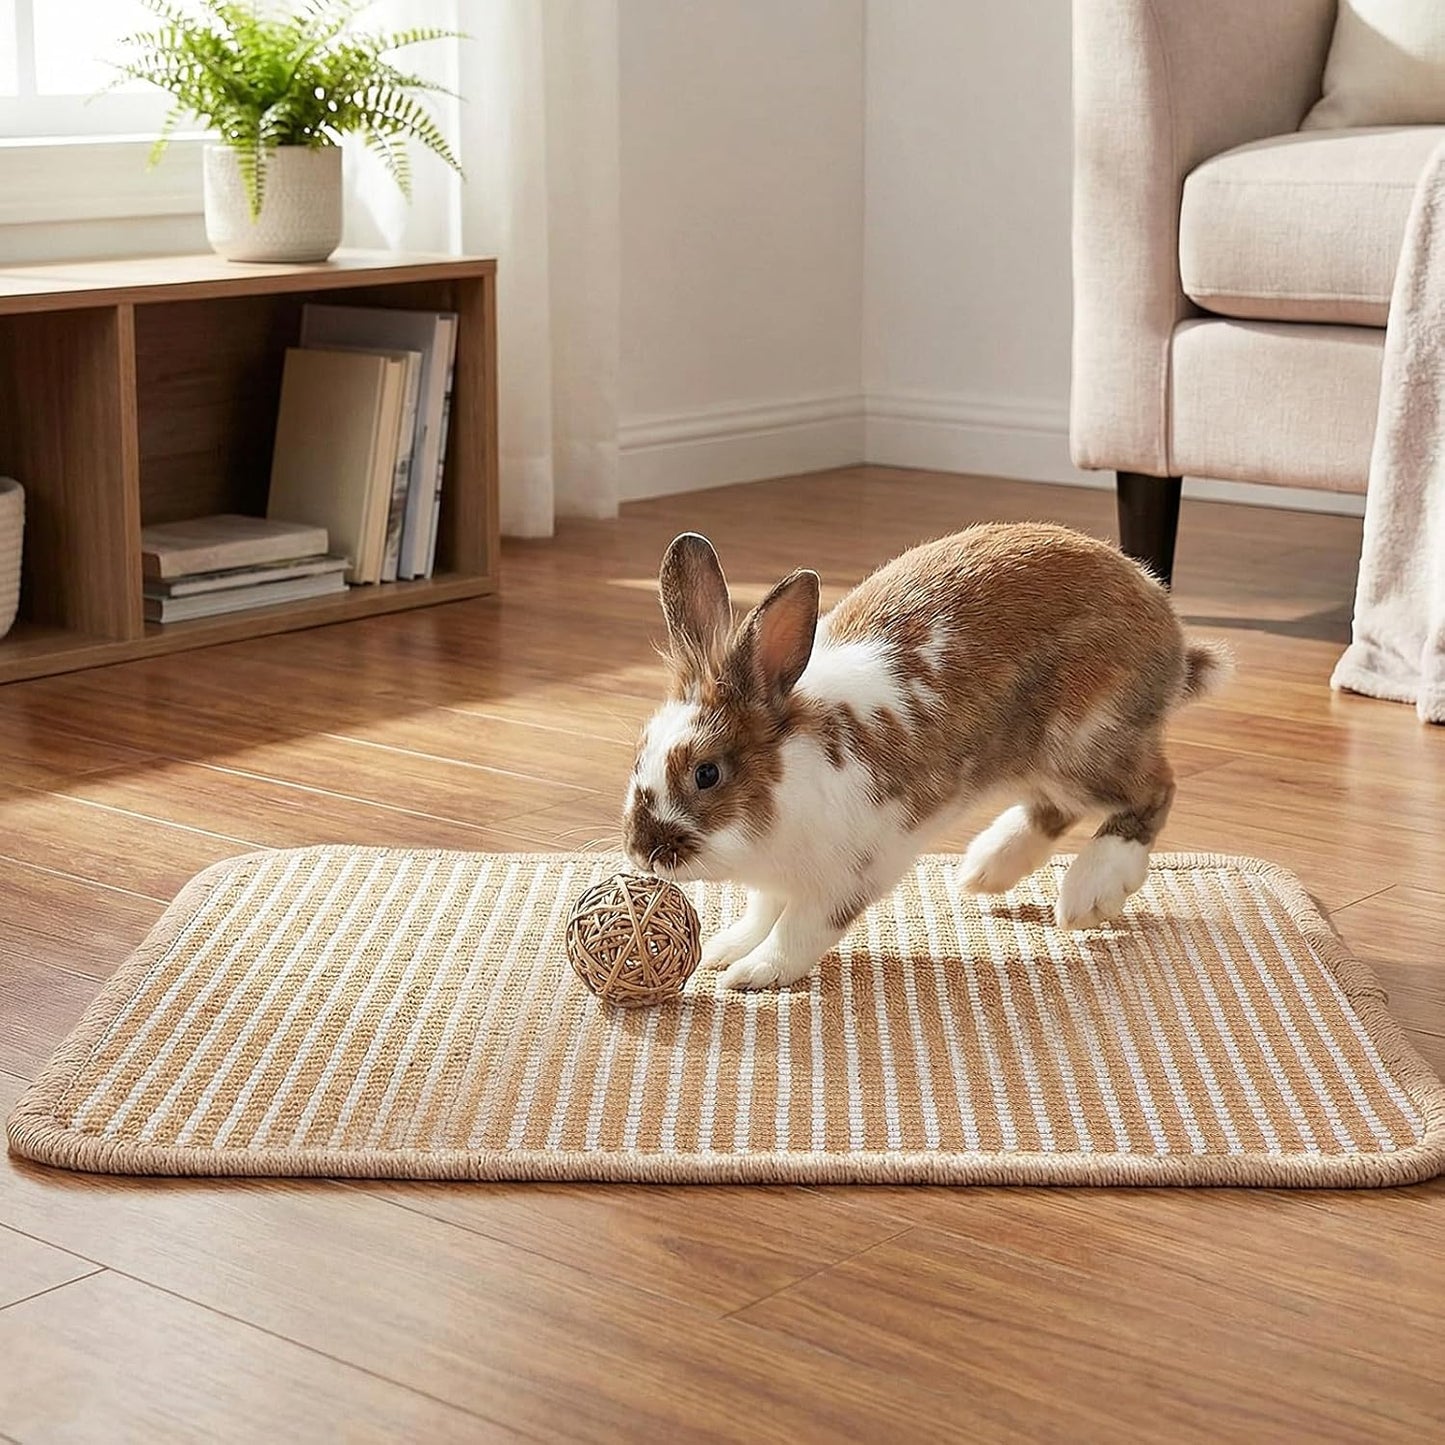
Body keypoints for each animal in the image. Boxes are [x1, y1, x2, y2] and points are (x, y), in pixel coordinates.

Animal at [621, 525, 1230, 991]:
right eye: (640, 752)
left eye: (707, 773)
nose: (643, 852)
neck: (789, 776)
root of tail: (1168, 629)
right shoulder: (777, 880)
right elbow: (762, 912)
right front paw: (727, 948)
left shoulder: (849, 875)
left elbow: (799, 929)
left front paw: (754, 973)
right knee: (1057, 807)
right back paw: (987, 868)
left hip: (1084, 741)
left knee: (1153, 790)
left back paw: (1088, 891)